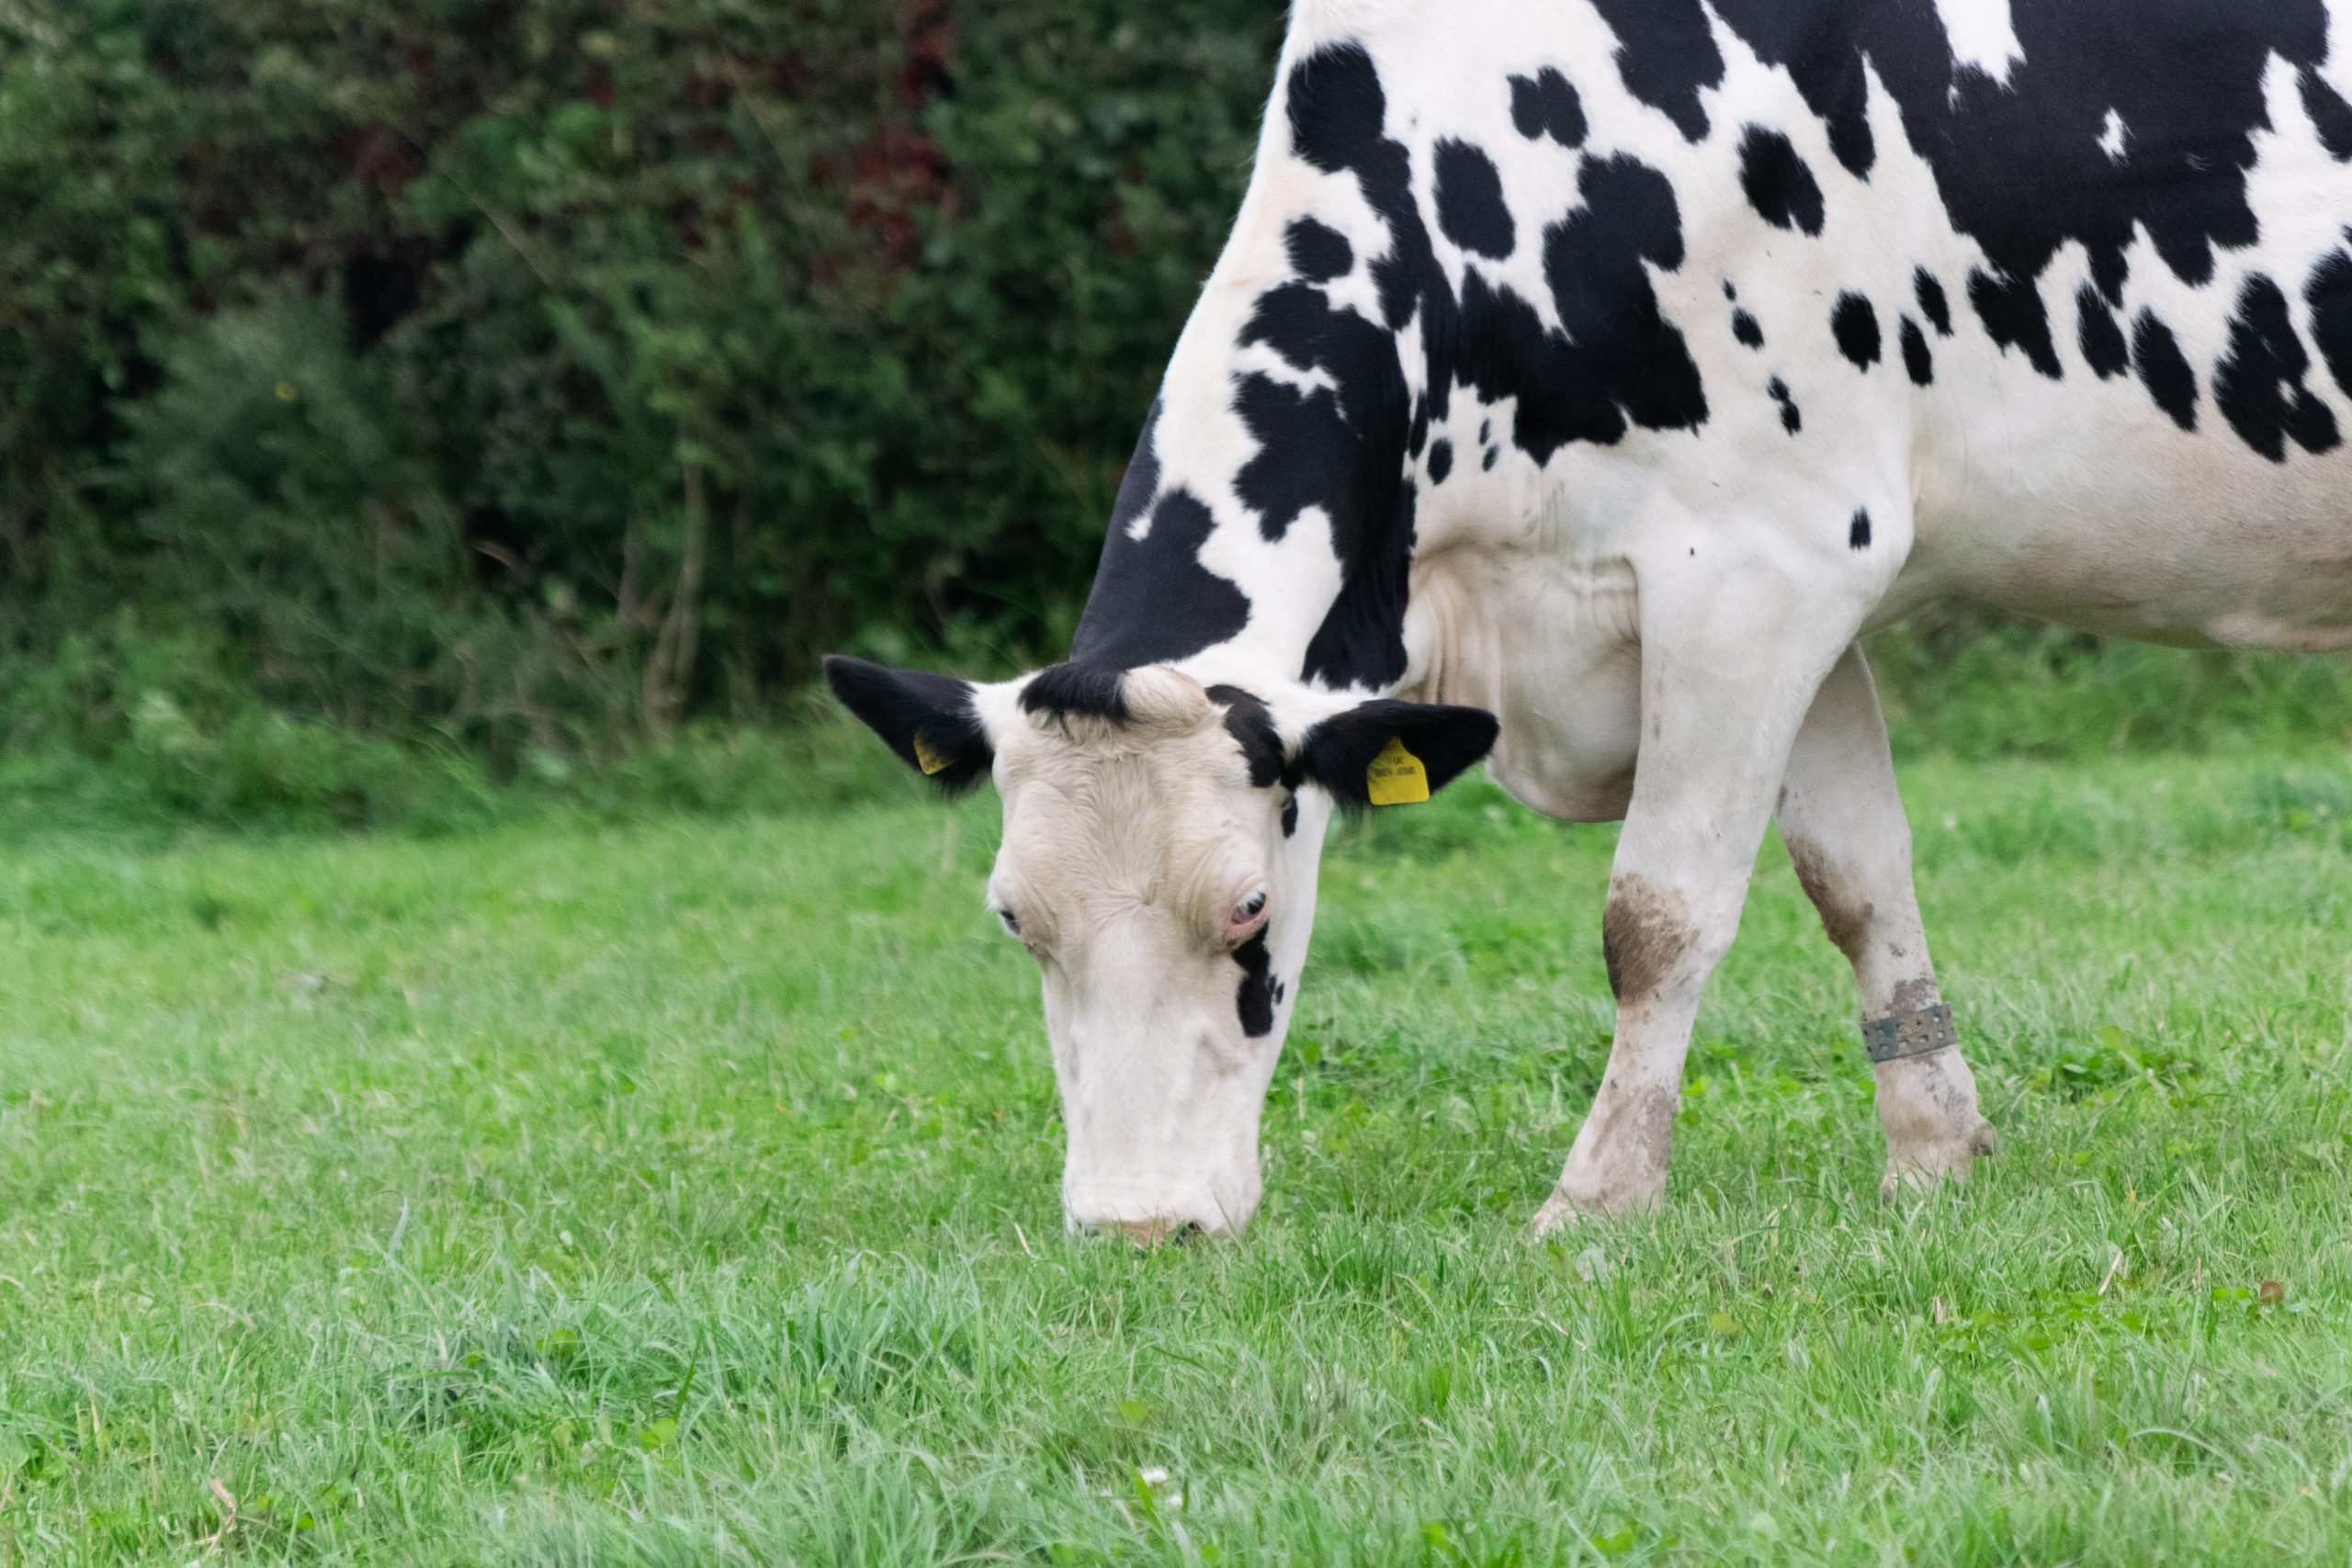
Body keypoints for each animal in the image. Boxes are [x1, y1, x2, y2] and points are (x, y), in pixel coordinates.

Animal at [823, 0, 2352, 1241]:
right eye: (1014, 915)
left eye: (1250, 904)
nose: (1138, 1225)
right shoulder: (1812, 572)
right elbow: (1858, 876)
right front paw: (1935, 1159)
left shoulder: (1756, 556)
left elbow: (1657, 914)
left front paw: (1597, 1200)